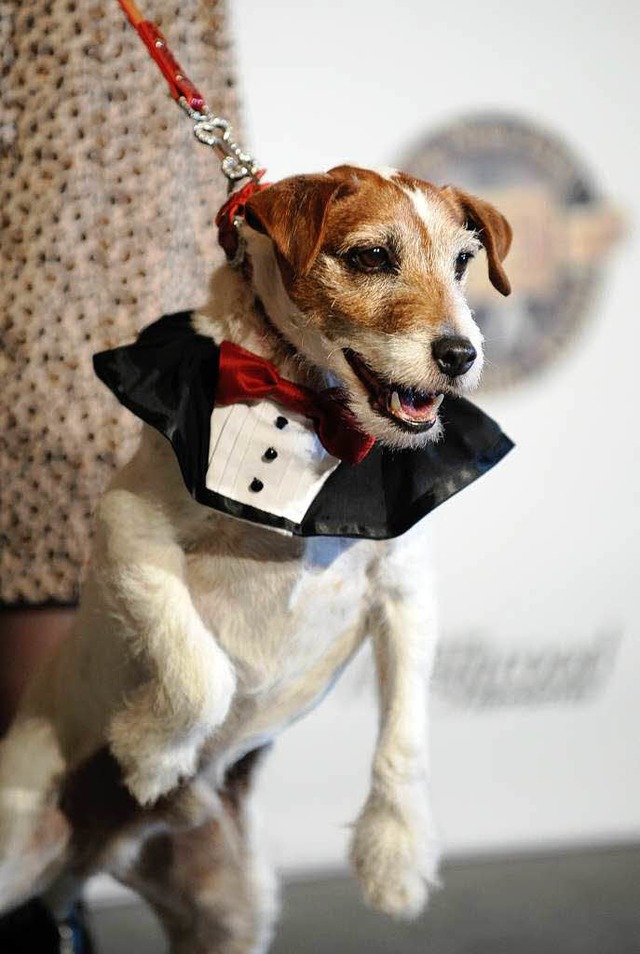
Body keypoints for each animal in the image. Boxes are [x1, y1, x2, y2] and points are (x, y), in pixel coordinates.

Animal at [0, 167, 512, 948]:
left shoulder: (406, 592)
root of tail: (92, 853)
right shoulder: (127, 526)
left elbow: (406, 734)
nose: (461, 355)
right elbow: (200, 671)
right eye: (370, 257)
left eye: (462, 262)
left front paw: (396, 855)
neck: (310, 407)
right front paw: (151, 752)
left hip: (228, 910)